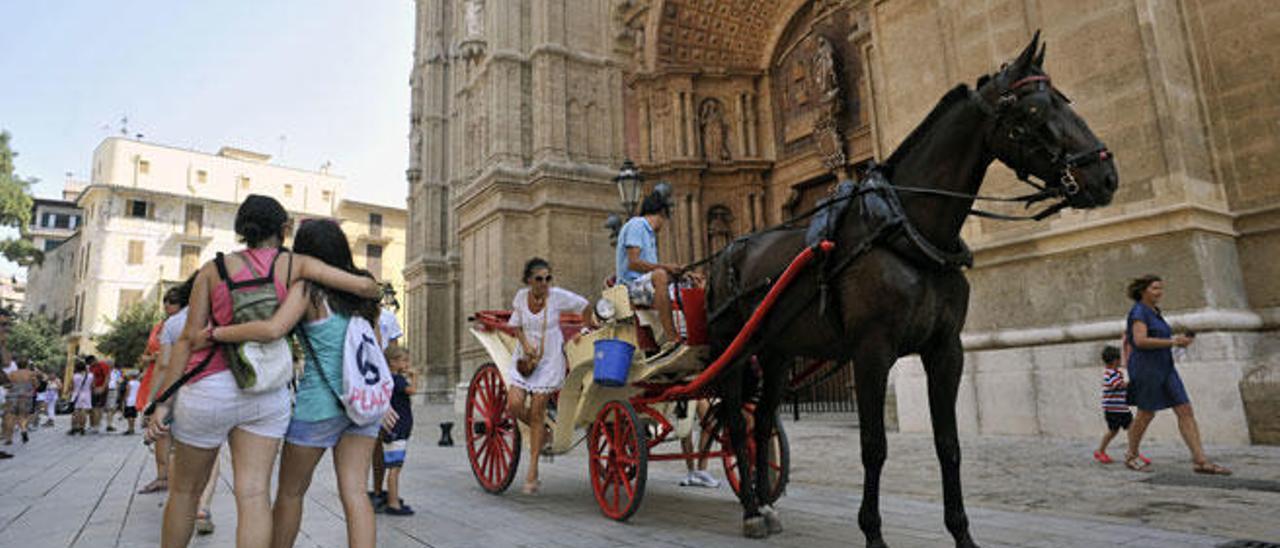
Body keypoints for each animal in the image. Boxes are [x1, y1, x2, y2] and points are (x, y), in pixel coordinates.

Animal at [706, 32, 1116, 545]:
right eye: (1036, 111)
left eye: (1065, 99)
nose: (1107, 176)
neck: (904, 229)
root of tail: (728, 250)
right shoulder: (872, 350)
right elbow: (873, 445)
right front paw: (873, 532)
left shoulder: (945, 349)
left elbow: (949, 444)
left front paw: (962, 533)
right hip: (734, 351)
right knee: (735, 423)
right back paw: (750, 509)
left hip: (778, 352)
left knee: (760, 424)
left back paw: (764, 501)